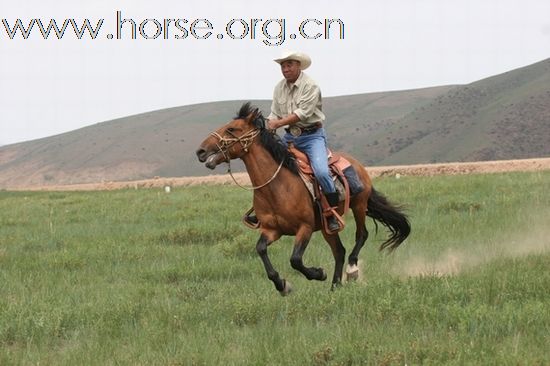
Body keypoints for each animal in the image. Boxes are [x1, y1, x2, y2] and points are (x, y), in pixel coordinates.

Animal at [196, 102, 412, 294]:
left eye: (232, 129)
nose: (201, 151)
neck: (276, 187)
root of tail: (357, 164)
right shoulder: (272, 230)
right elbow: (261, 249)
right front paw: (282, 285)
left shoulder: (305, 228)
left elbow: (295, 260)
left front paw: (318, 273)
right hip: (327, 226)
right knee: (339, 251)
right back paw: (335, 287)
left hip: (359, 206)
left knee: (361, 235)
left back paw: (351, 271)